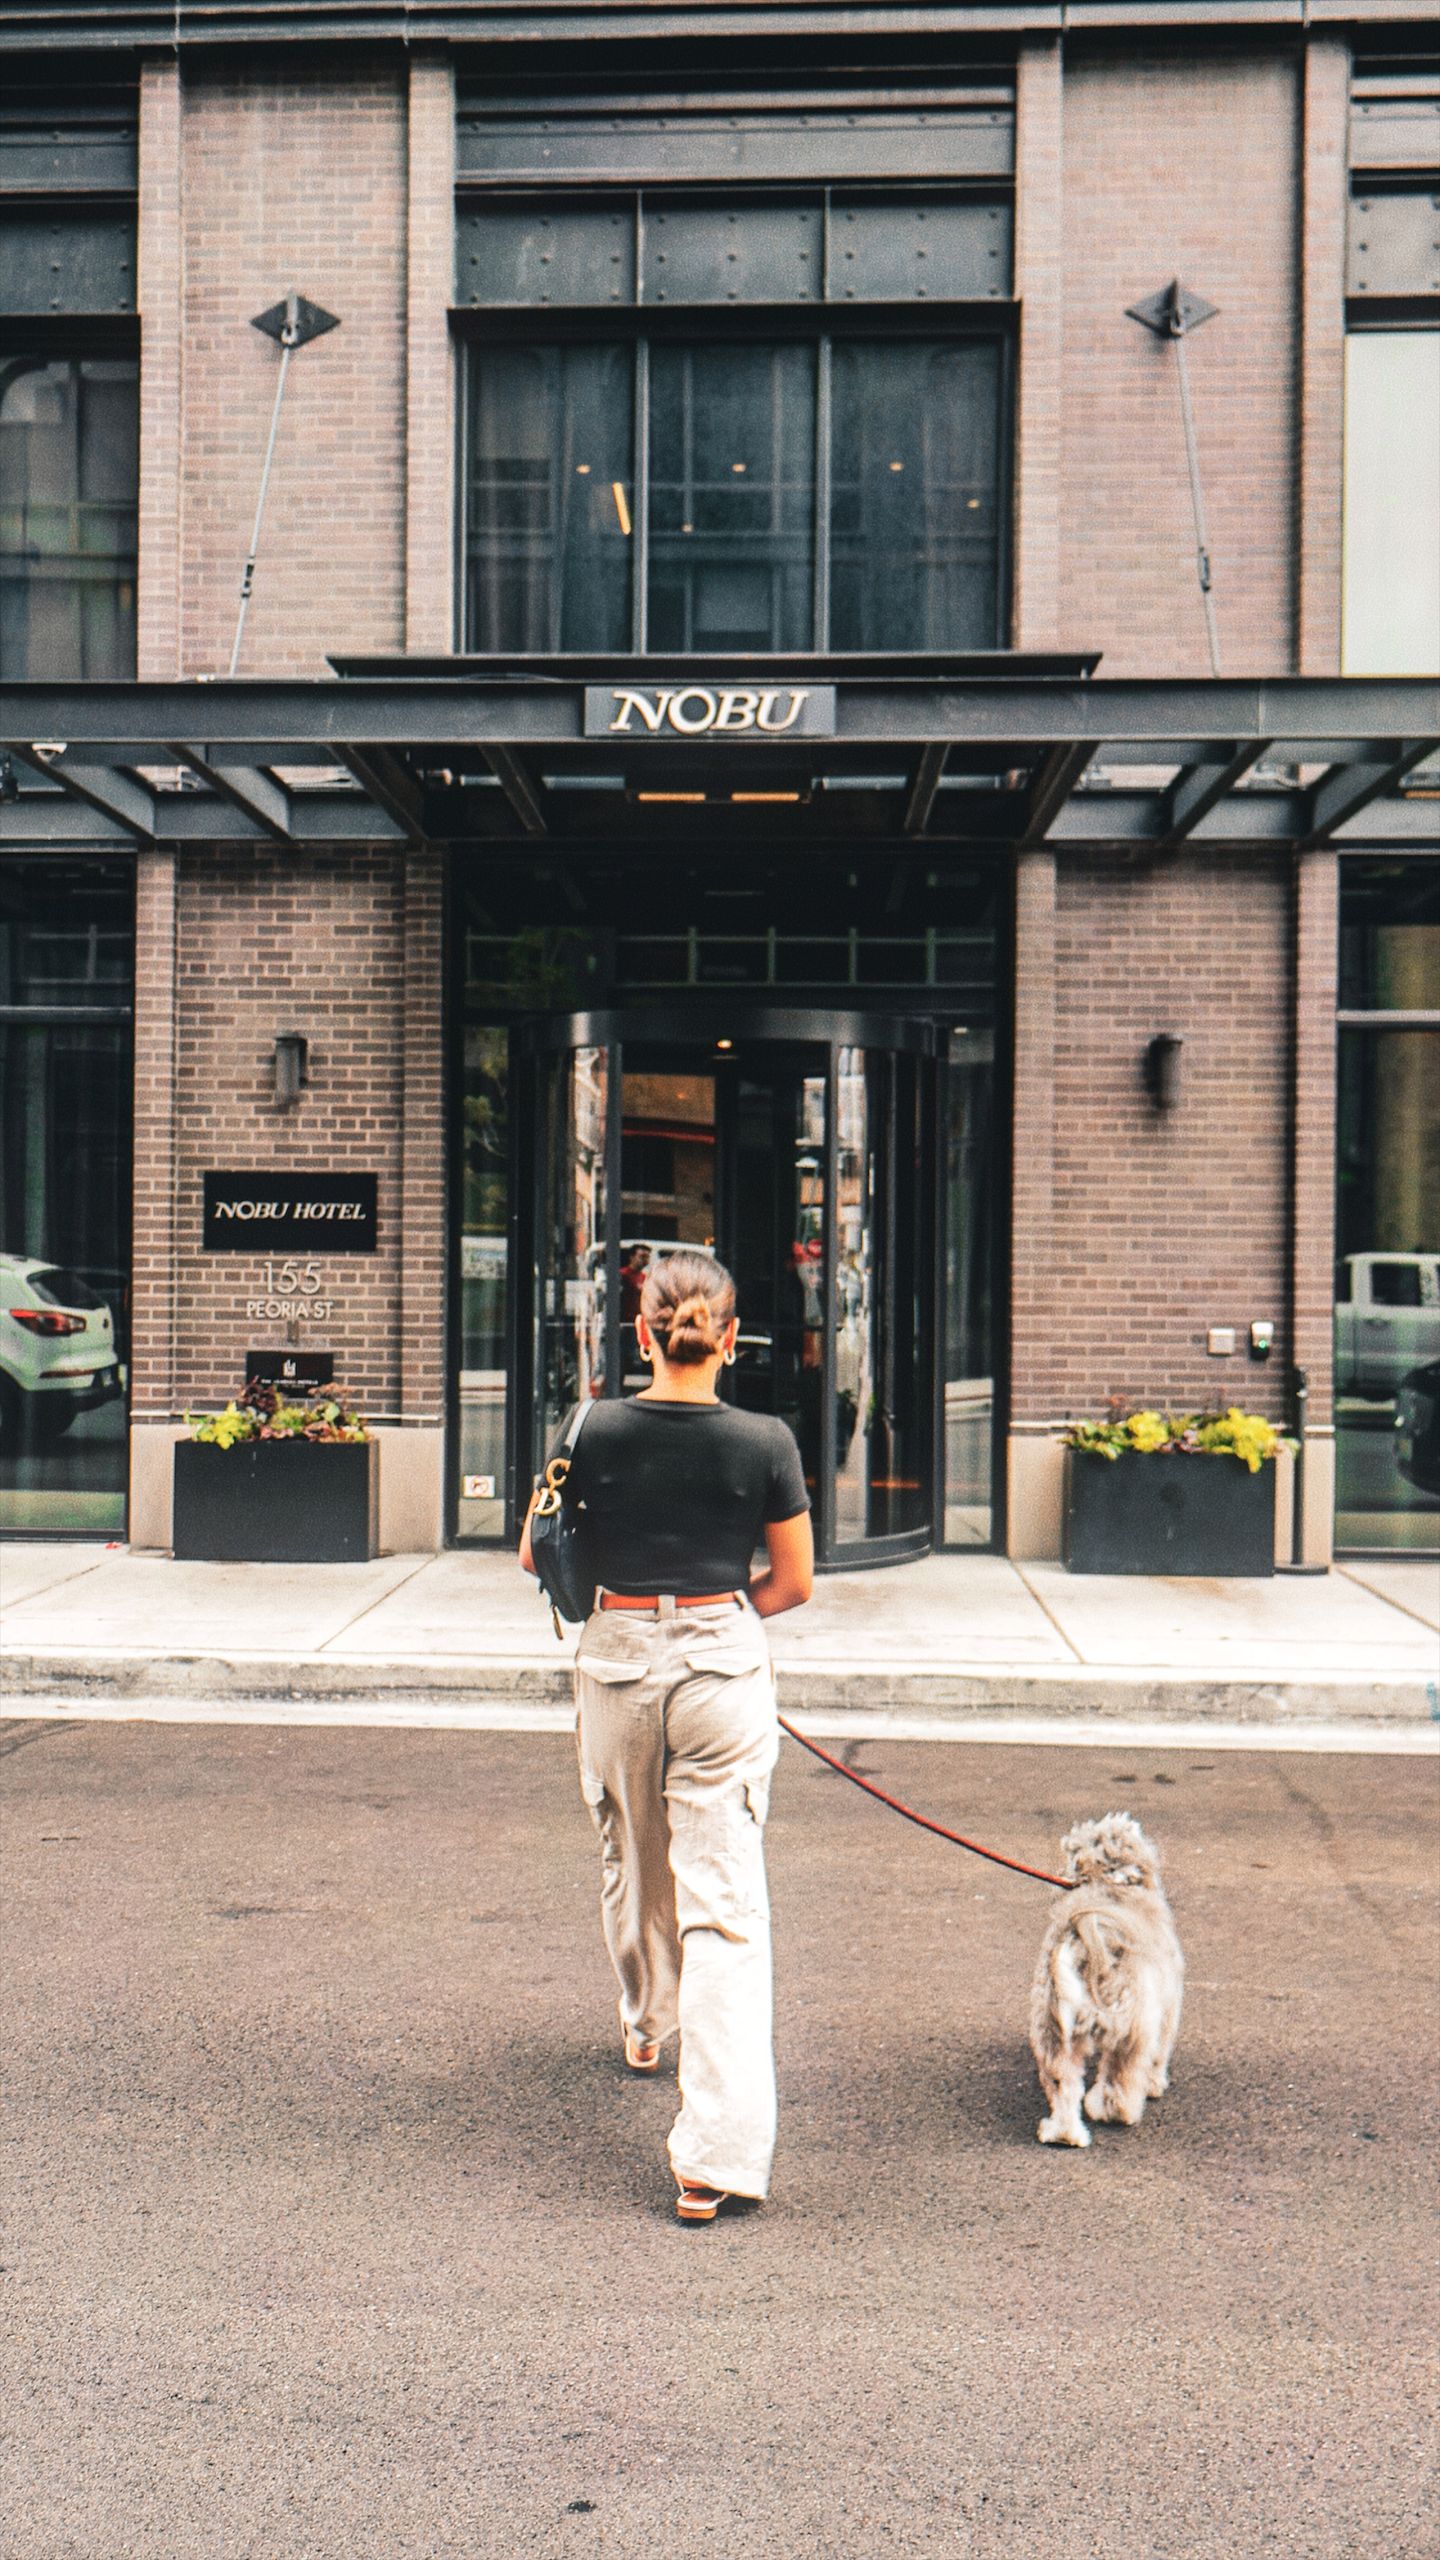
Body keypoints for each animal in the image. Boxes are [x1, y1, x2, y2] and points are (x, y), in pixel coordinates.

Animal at [1024, 1812, 1183, 2150]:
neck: (1108, 1880)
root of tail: (1085, 1940)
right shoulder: (1166, 2010)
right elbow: (1158, 2055)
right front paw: (1155, 2084)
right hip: (1133, 2031)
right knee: (1118, 2080)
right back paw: (1118, 2111)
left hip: (1053, 2031)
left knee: (1064, 2086)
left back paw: (1064, 2134)